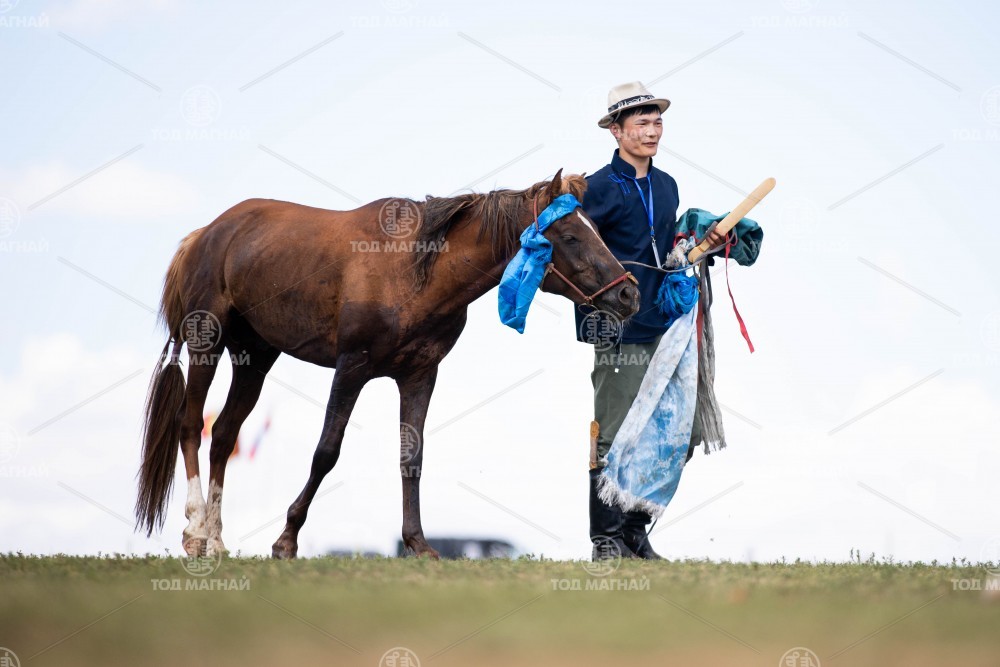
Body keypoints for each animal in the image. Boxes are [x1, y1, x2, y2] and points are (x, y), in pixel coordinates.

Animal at [135, 169, 640, 559]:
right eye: (570, 235)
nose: (628, 294)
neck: (413, 270)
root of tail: (207, 234)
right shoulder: (351, 369)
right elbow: (326, 452)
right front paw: (286, 539)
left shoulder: (419, 376)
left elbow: (411, 458)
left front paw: (418, 543)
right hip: (207, 344)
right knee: (189, 425)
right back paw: (196, 532)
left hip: (254, 359)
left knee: (222, 436)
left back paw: (217, 540)